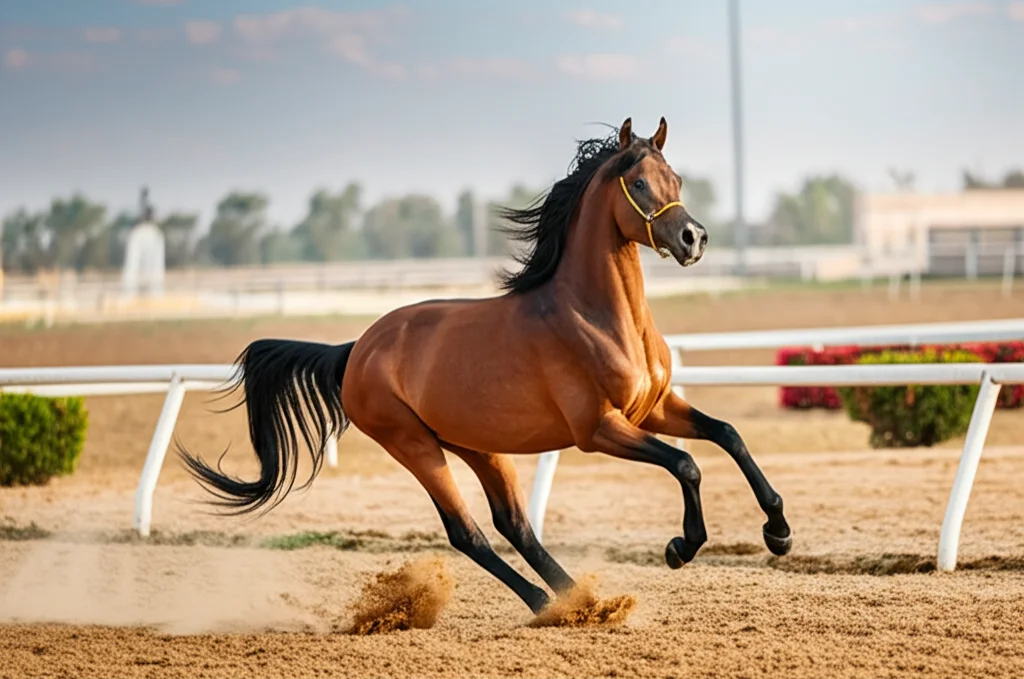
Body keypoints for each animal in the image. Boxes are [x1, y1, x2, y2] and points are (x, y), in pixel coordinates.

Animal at [179, 116, 793, 616]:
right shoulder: (600, 429)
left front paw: (779, 533)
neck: (595, 314)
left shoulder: (655, 407)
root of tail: (357, 349)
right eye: (639, 183)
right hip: (413, 445)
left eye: (678, 180)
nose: (694, 238)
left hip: (478, 444)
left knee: (514, 524)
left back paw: (581, 601)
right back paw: (551, 604)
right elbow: (686, 464)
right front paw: (680, 547)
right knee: (467, 532)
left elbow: (728, 435)